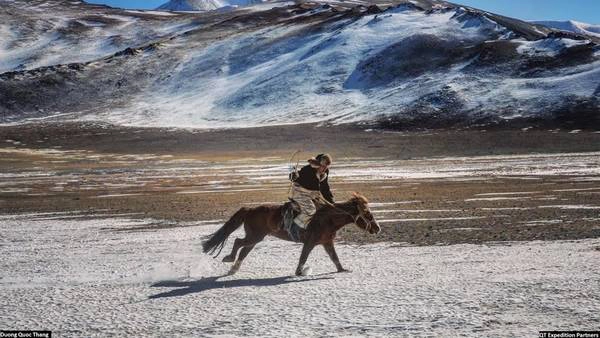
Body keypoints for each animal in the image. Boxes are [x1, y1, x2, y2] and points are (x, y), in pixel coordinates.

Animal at [202, 191, 380, 276]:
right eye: (367, 213)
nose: (377, 228)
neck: (327, 218)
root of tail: (250, 209)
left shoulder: (327, 242)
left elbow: (334, 258)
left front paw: (342, 270)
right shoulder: (310, 242)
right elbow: (303, 257)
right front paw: (299, 272)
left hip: (255, 238)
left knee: (244, 250)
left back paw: (233, 269)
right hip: (254, 236)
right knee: (238, 242)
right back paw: (229, 259)